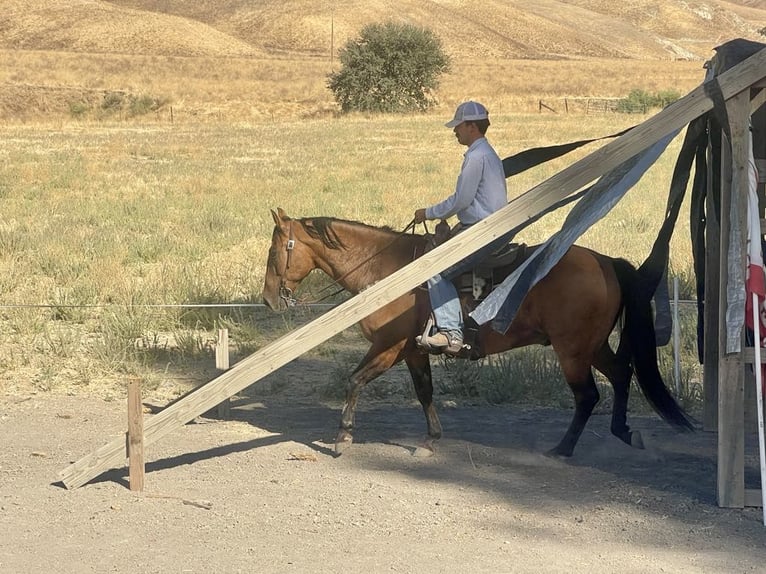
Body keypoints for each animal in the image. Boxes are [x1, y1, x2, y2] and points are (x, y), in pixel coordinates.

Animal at [264, 207, 696, 460]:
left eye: (274, 252)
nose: (269, 299)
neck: (390, 273)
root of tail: (604, 261)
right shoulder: (413, 351)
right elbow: (425, 391)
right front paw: (431, 440)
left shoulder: (389, 346)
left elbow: (354, 381)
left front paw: (343, 437)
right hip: (593, 344)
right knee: (622, 375)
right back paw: (622, 431)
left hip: (572, 349)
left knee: (587, 395)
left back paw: (563, 448)